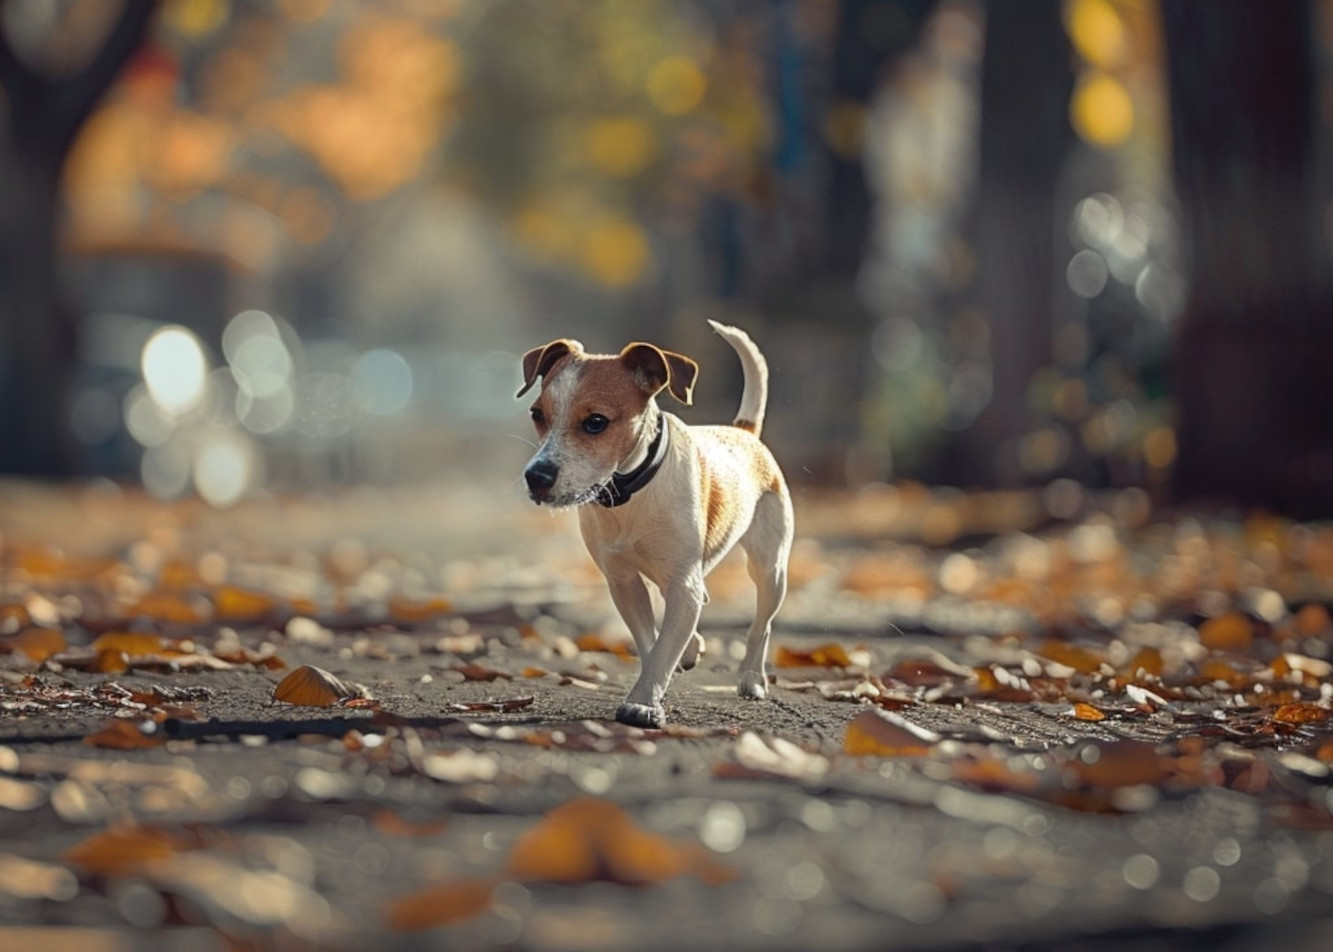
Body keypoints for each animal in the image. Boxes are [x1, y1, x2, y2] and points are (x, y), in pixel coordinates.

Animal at [517, 321, 789, 725]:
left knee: (762, 624)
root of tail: (744, 432)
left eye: (596, 422)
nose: (536, 477)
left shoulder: (681, 582)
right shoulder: (624, 581)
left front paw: (643, 703)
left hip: (769, 569)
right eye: (538, 414)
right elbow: (652, 642)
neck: (631, 492)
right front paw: (656, 687)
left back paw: (752, 678)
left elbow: (664, 645)